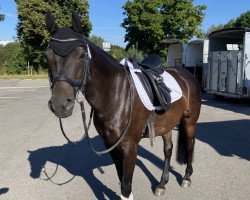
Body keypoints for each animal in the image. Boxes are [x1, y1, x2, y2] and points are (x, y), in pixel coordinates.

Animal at [44, 12, 201, 198]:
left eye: (82, 55)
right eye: (47, 56)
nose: (60, 105)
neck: (117, 95)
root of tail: (186, 74)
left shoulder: (129, 147)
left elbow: (126, 187)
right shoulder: (111, 145)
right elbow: (122, 179)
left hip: (189, 121)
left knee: (190, 145)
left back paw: (187, 177)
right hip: (167, 124)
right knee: (168, 149)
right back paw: (162, 184)